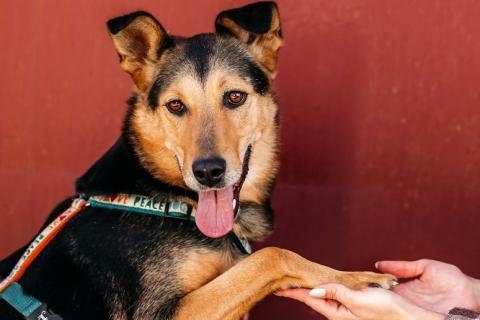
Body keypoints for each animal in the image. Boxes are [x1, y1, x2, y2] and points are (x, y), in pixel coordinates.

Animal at [0, 1, 398, 318]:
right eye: (176, 105)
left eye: (235, 97)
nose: (208, 172)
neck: (167, 200)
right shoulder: (162, 313)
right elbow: (272, 257)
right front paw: (358, 278)